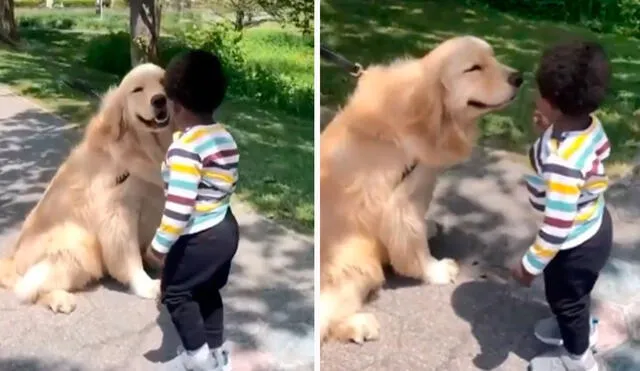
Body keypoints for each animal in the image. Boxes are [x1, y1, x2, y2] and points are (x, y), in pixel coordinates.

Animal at [0, 63, 175, 314]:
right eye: (137, 90)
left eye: (163, 83)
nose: (159, 100)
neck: (144, 147)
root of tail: (12, 260)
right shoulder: (118, 212)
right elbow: (128, 255)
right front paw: (146, 285)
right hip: (78, 241)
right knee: (27, 287)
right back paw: (60, 299)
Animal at [320, 36, 524, 344]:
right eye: (474, 68)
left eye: (493, 57)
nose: (519, 77)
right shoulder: (402, 199)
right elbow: (413, 241)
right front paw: (436, 270)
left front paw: (429, 229)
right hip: (354, 258)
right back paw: (359, 324)